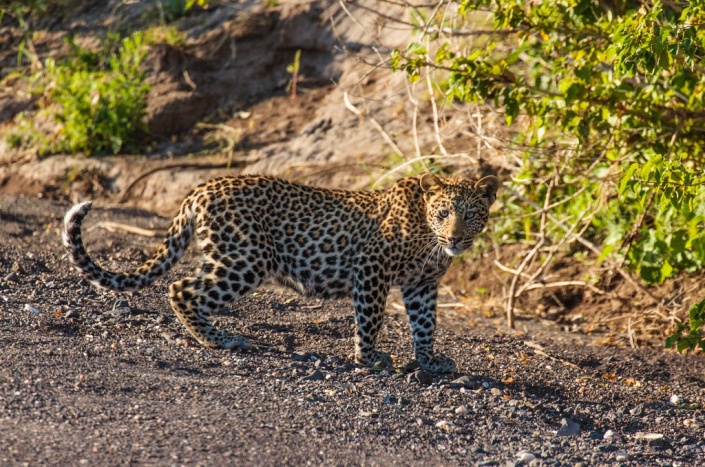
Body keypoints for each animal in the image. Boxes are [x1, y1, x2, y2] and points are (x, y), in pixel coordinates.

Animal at [62, 173, 499, 373]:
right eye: (443, 213)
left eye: (471, 214)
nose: (456, 238)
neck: (428, 238)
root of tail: (202, 187)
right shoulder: (372, 268)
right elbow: (371, 318)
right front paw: (369, 357)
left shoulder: (422, 285)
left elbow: (426, 325)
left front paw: (429, 361)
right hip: (245, 260)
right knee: (180, 288)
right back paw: (222, 340)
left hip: (225, 256)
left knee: (187, 285)